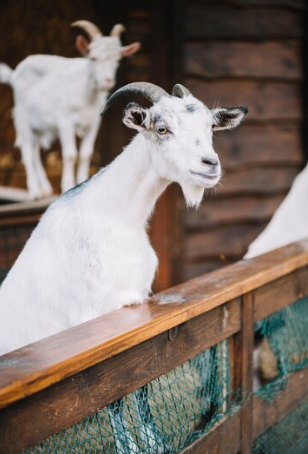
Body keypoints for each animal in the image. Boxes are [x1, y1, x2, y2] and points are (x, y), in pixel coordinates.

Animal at [0, 20, 141, 199]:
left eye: (117, 60)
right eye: (93, 58)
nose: (108, 81)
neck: (86, 95)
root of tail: (14, 75)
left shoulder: (93, 123)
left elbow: (86, 154)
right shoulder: (65, 121)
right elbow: (70, 155)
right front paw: (67, 185)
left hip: (38, 126)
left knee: (35, 150)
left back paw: (44, 188)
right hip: (22, 118)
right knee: (27, 151)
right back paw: (35, 191)